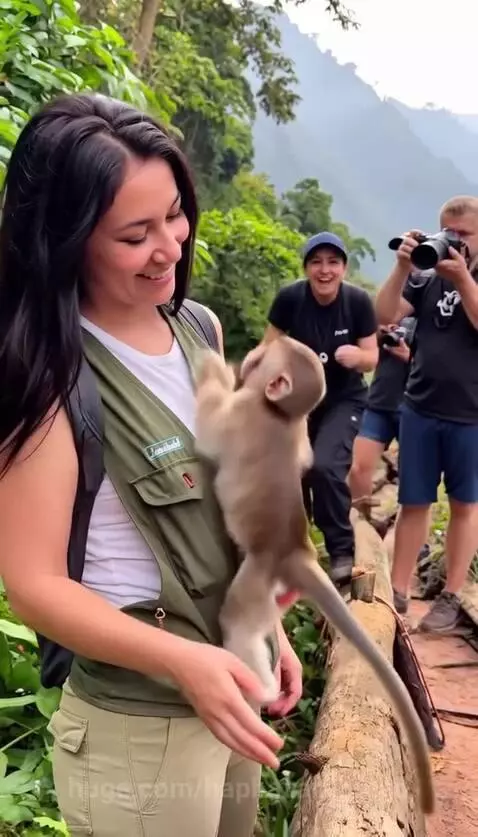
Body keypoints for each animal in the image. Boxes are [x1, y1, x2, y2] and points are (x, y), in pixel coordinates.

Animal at [194, 335, 435, 816]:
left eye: (266, 354)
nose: (259, 345)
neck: (282, 415)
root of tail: (298, 553)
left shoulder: (242, 412)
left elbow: (209, 430)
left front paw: (213, 367)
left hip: (259, 570)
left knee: (238, 619)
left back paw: (261, 687)